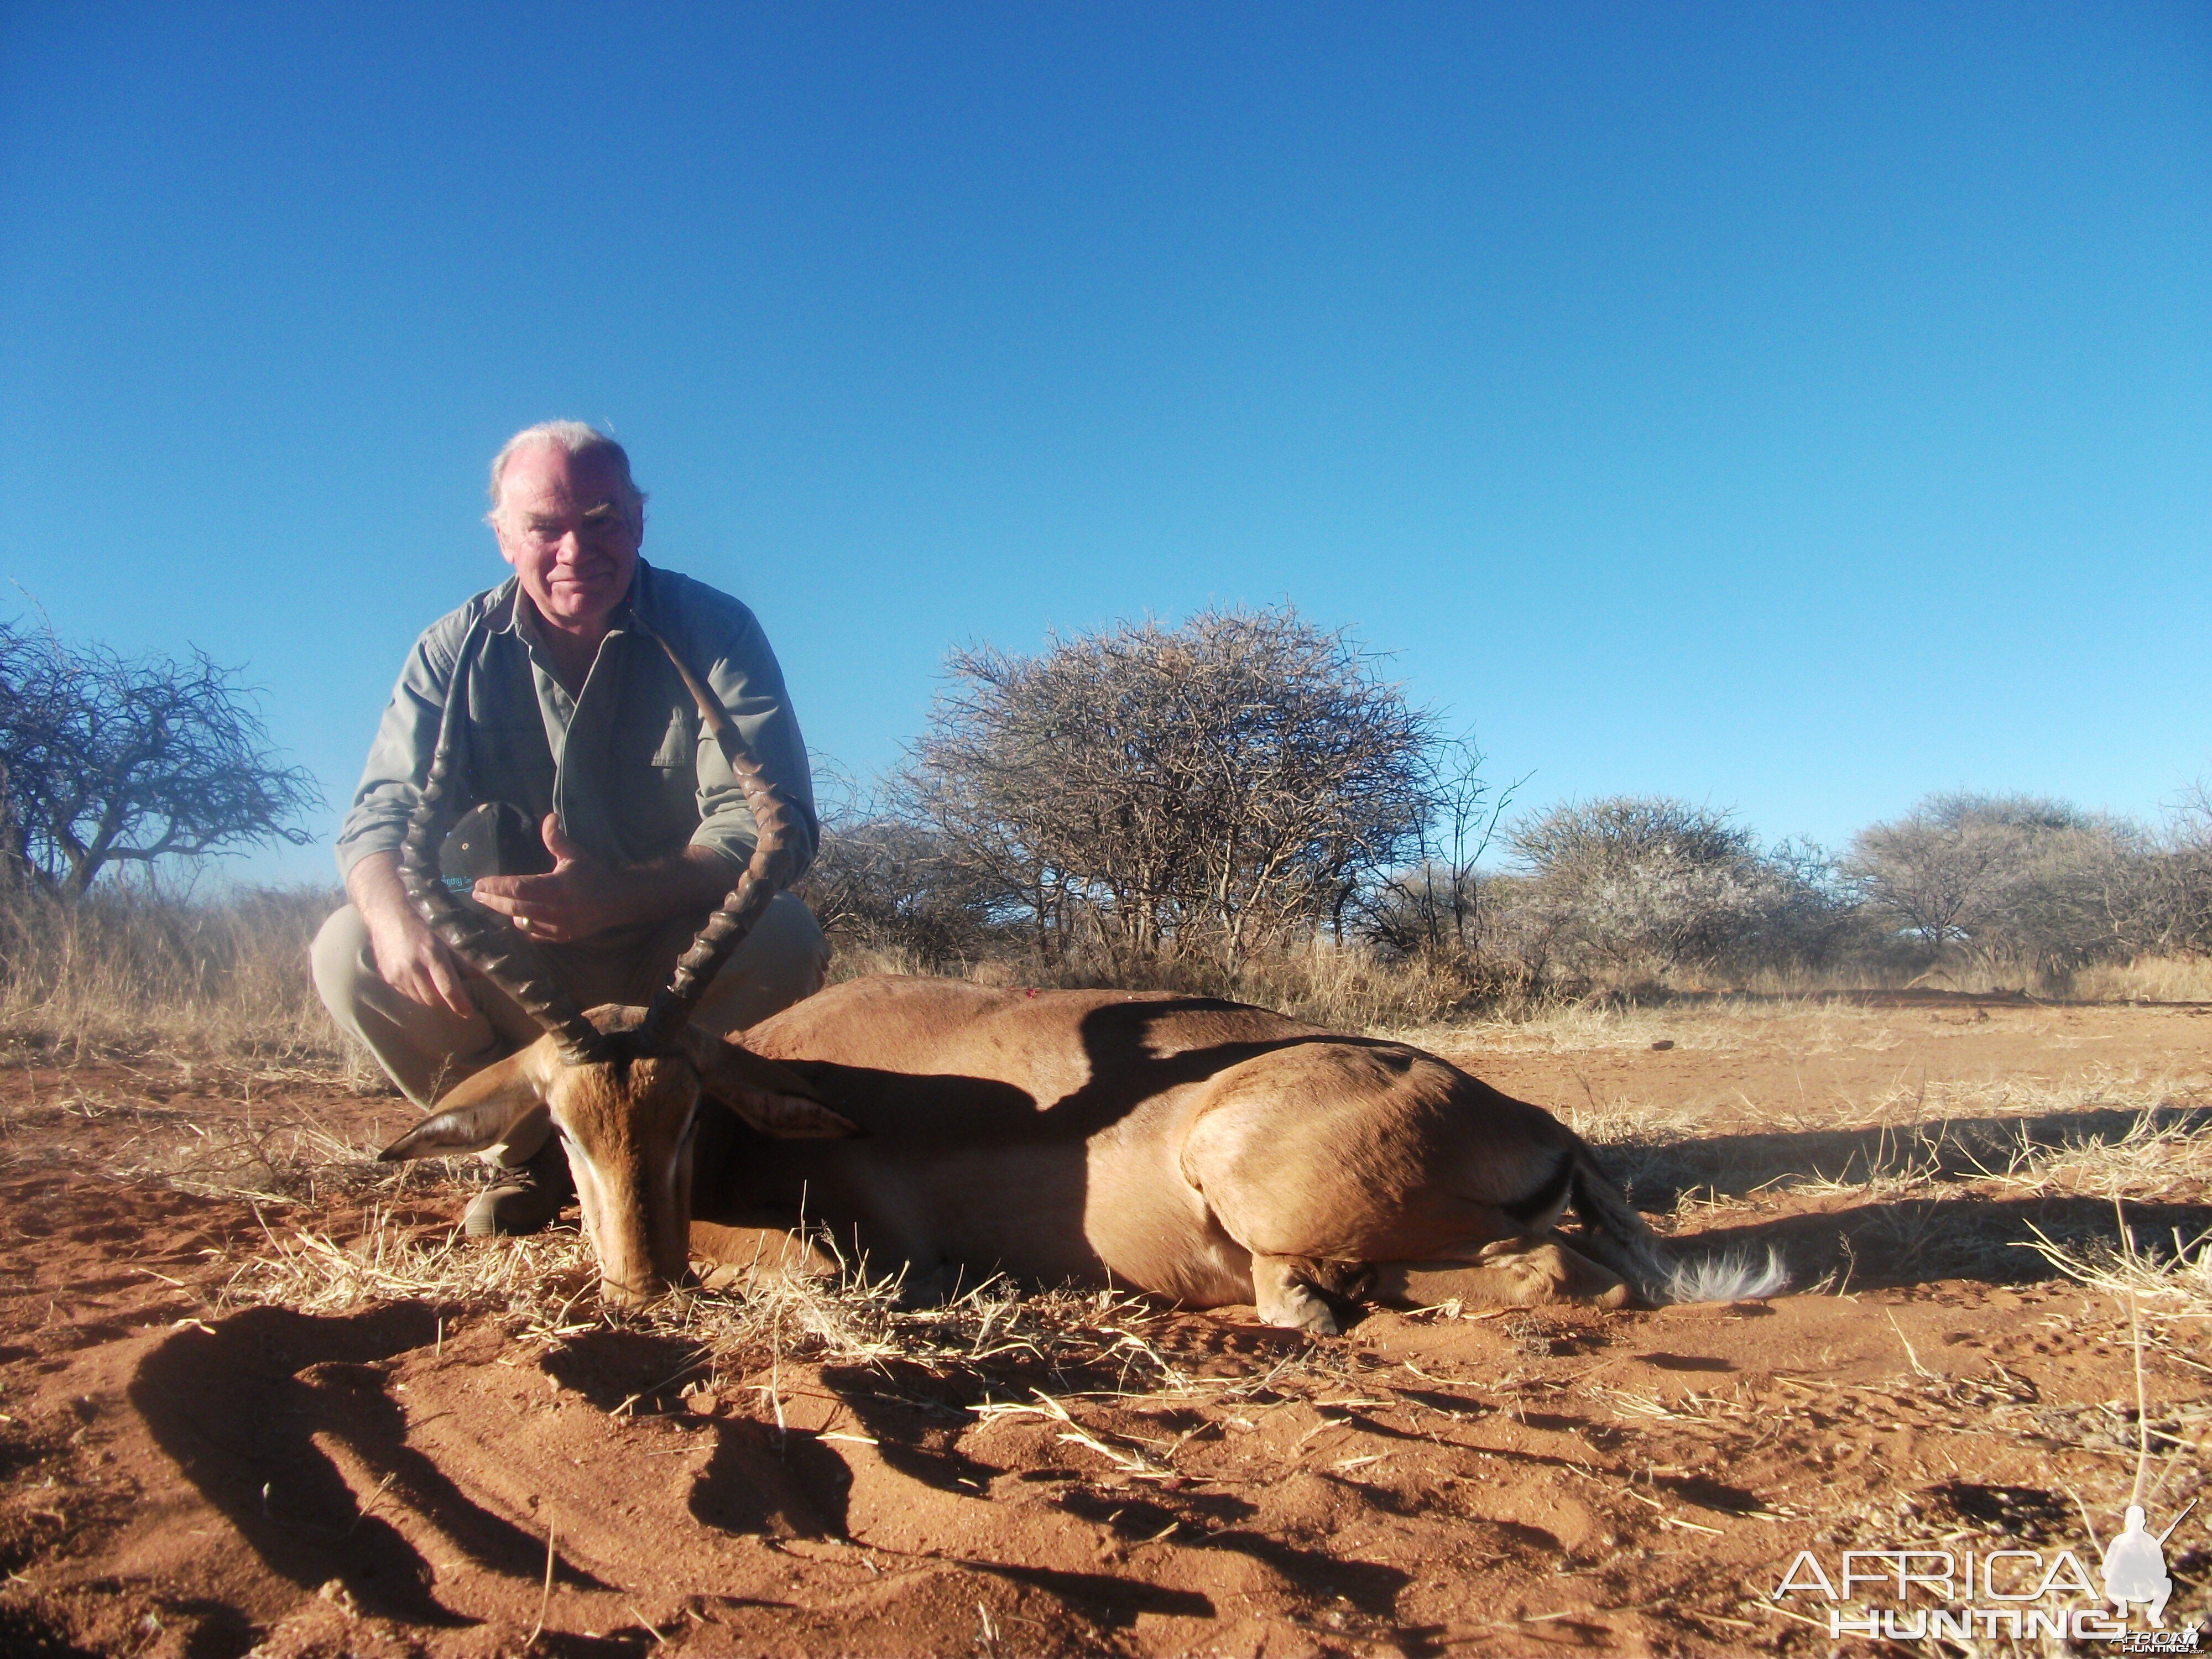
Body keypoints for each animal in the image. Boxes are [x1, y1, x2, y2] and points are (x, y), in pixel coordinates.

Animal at [385, 628, 1778, 1336]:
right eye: (561, 1122)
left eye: (680, 1115)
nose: (642, 1284)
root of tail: (1530, 1119)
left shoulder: (846, 1238)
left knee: (1468, 1285)